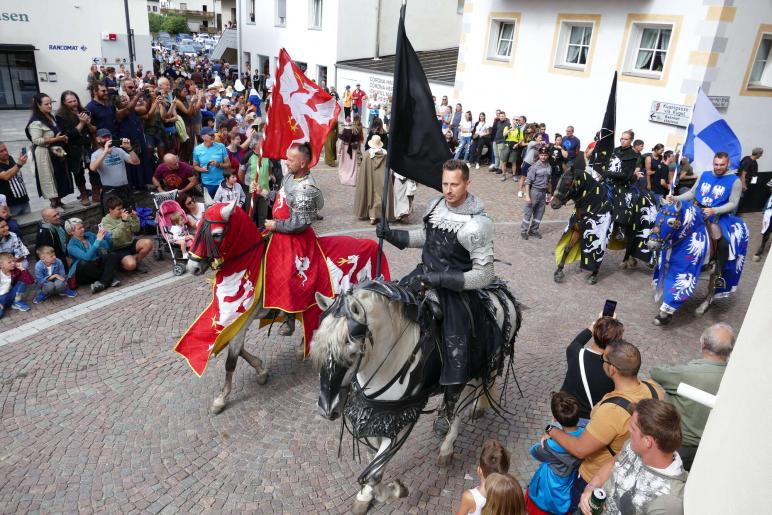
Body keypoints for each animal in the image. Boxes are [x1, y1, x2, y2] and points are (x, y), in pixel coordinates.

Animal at [310, 282, 520, 515]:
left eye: (351, 349)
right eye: (318, 347)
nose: (327, 409)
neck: (389, 358)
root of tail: (497, 291)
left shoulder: (400, 418)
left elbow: (374, 473)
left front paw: (396, 490)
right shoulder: (373, 415)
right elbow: (371, 459)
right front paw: (364, 496)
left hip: (474, 369)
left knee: (461, 404)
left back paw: (448, 445)